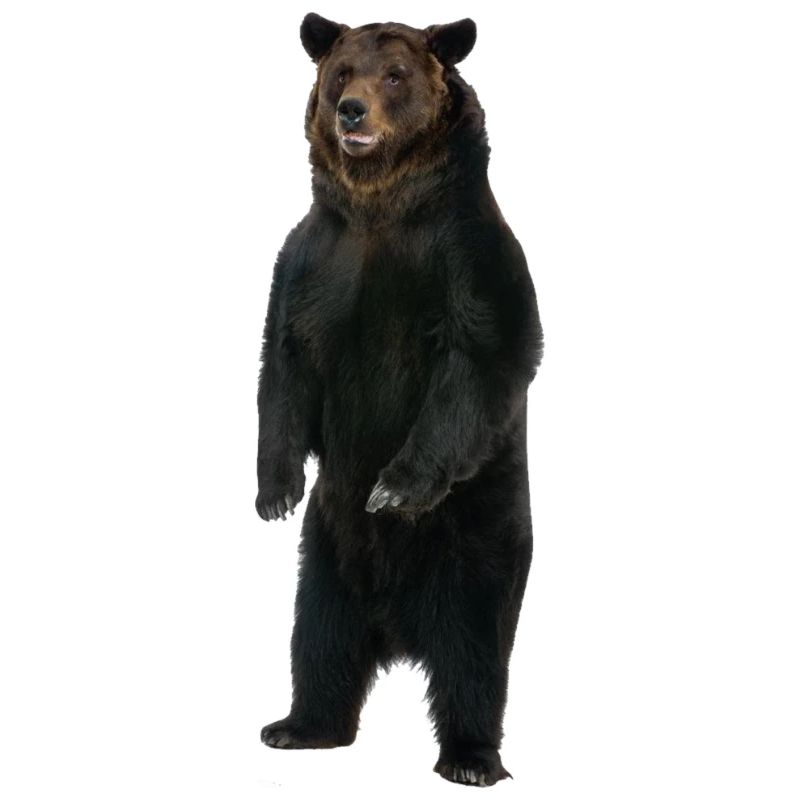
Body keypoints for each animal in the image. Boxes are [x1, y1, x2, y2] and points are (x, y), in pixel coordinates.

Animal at [255, 13, 544, 787]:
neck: (380, 206)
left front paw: (393, 488)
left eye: (395, 75)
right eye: (341, 72)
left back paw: (471, 758)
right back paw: (299, 726)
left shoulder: (465, 257)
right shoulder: (313, 261)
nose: (352, 111)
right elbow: (283, 365)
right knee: (318, 638)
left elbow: (480, 359)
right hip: (326, 555)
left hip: (479, 538)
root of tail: (399, 630)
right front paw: (274, 490)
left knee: (475, 654)